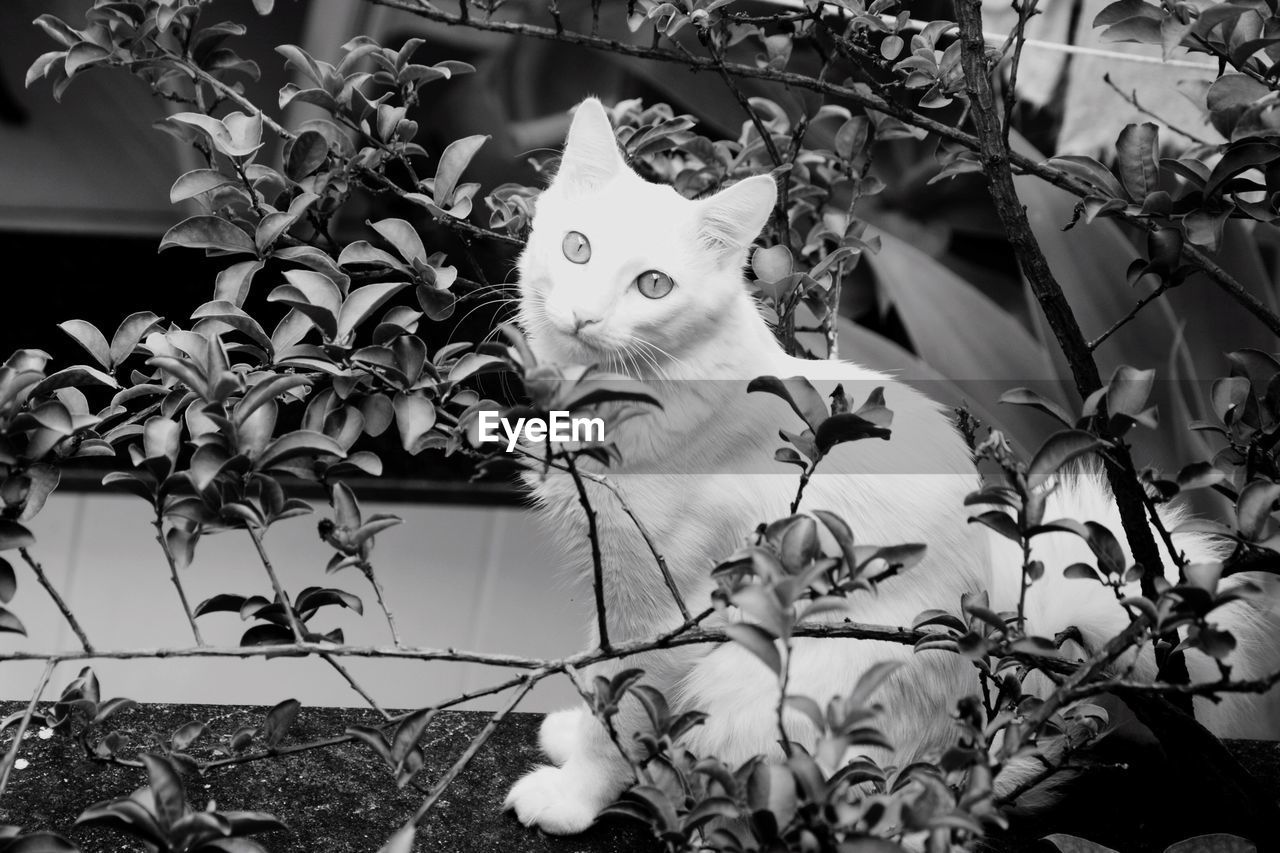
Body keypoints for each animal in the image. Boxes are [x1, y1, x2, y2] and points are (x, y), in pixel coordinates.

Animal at [501, 97, 1280, 829]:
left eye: (653, 286)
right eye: (577, 249)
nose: (585, 317)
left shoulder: (664, 609)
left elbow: (623, 709)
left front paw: (577, 795)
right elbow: (599, 684)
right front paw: (575, 734)